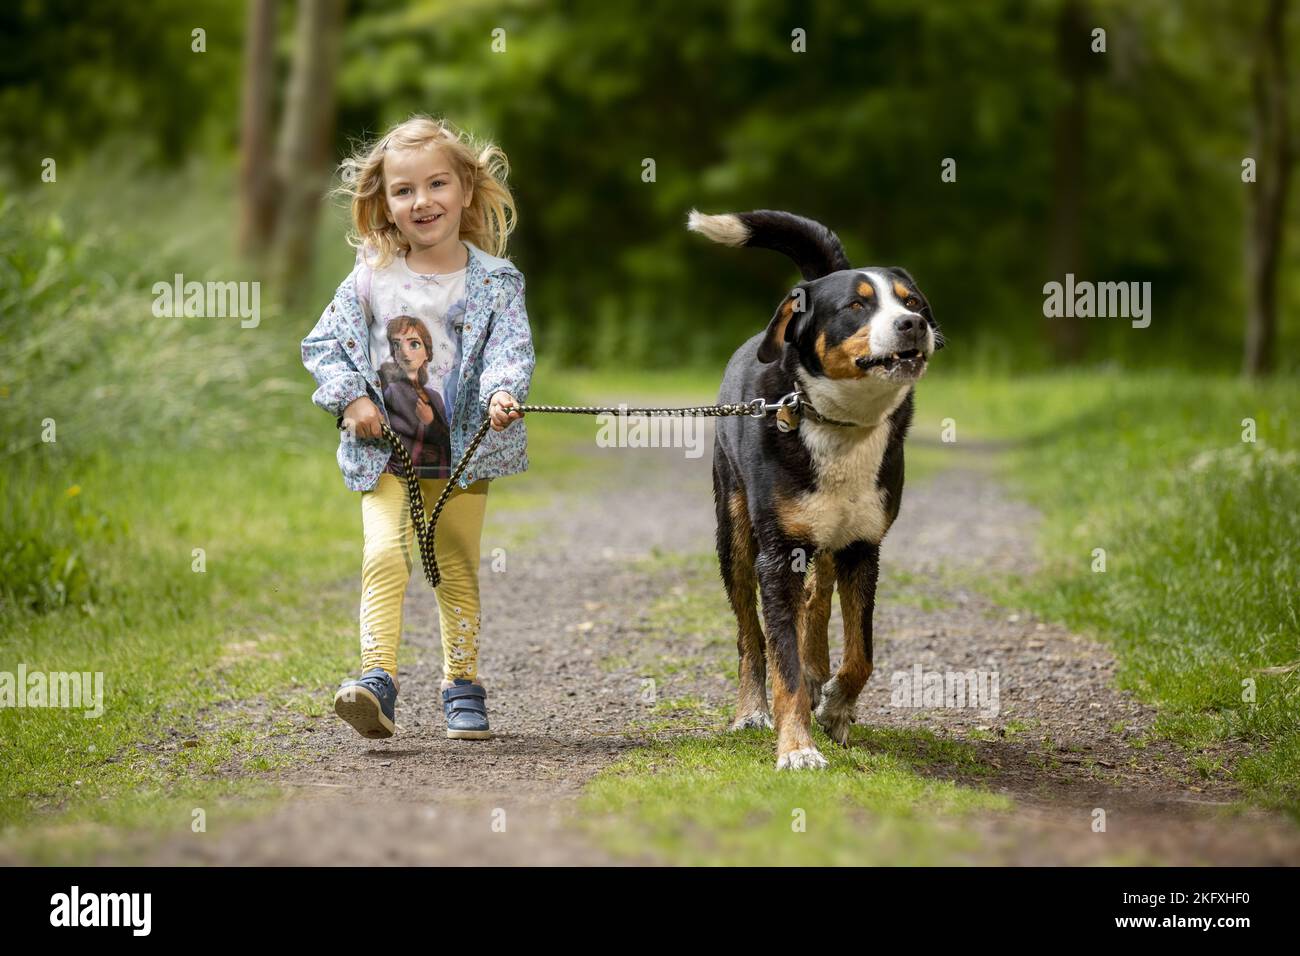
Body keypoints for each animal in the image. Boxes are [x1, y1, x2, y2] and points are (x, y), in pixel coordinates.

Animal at [691, 208, 946, 770]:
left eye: (912, 301)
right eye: (856, 305)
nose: (913, 324)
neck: (842, 425)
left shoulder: (863, 547)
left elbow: (860, 652)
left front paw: (835, 708)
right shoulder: (777, 554)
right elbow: (779, 658)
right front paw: (797, 748)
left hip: (825, 545)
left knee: (815, 605)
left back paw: (817, 679)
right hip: (734, 534)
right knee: (751, 634)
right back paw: (751, 710)